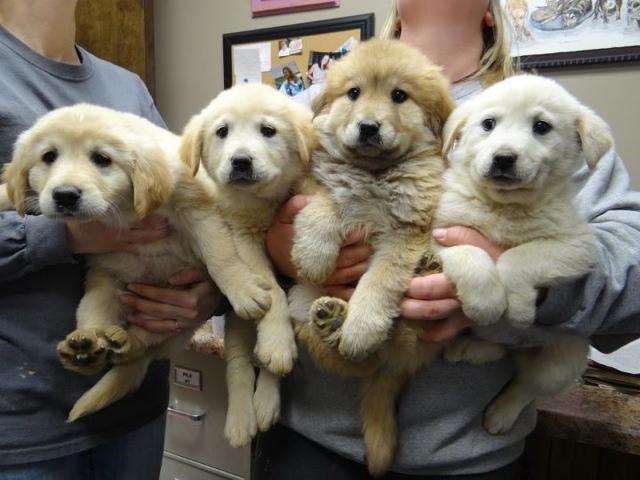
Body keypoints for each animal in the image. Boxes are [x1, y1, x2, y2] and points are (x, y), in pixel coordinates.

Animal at [179, 83, 315, 448]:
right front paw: (278, 342)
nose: (240, 161)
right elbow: (274, 294)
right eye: (221, 132)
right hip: (238, 321)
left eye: (268, 130)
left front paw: (277, 348)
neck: (264, 202)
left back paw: (266, 399)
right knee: (238, 364)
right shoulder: (243, 238)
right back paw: (242, 419)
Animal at [288, 38, 455, 476]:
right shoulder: (313, 184)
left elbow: (378, 285)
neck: (374, 175)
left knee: (391, 342)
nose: (368, 127)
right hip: (299, 304)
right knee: (347, 362)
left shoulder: (405, 235)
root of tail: (392, 367)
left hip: (415, 336)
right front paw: (313, 253)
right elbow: (326, 202)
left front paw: (362, 326)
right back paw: (333, 322)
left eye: (399, 96)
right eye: (353, 93)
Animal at [433, 73, 613, 434]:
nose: (503, 158)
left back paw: (501, 414)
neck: (505, 207)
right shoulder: (434, 231)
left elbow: (518, 259)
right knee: (498, 350)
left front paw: (516, 307)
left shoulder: (576, 245)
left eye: (541, 127)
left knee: (525, 386)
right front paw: (487, 301)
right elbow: (471, 252)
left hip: (563, 361)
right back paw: (469, 347)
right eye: (488, 123)